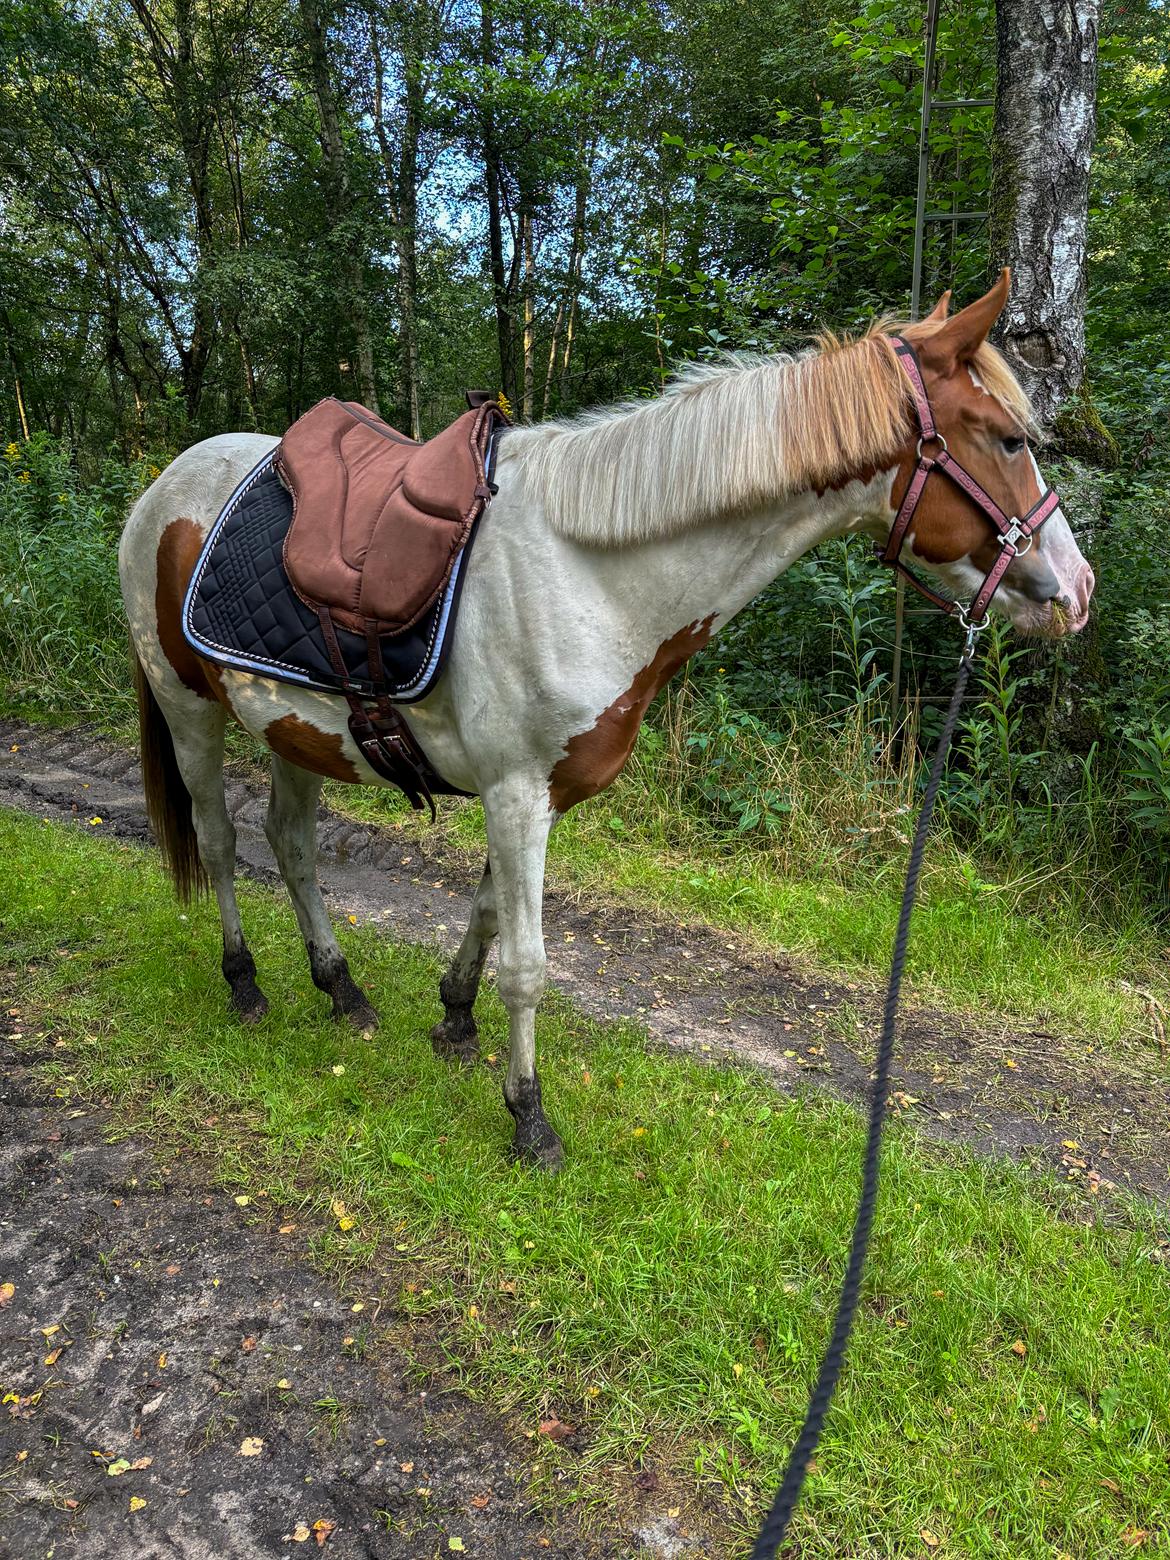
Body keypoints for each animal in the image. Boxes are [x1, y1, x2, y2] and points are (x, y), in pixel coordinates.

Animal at [121, 271, 1098, 1173]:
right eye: (1010, 438)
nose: (1078, 592)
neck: (589, 573)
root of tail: (166, 483)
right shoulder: (516, 795)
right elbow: (528, 966)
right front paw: (528, 1118)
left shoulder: (532, 795)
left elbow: (487, 921)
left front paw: (454, 1018)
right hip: (188, 708)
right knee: (219, 841)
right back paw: (245, 984)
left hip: (295, 728)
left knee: (289, 844)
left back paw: (340, 988)